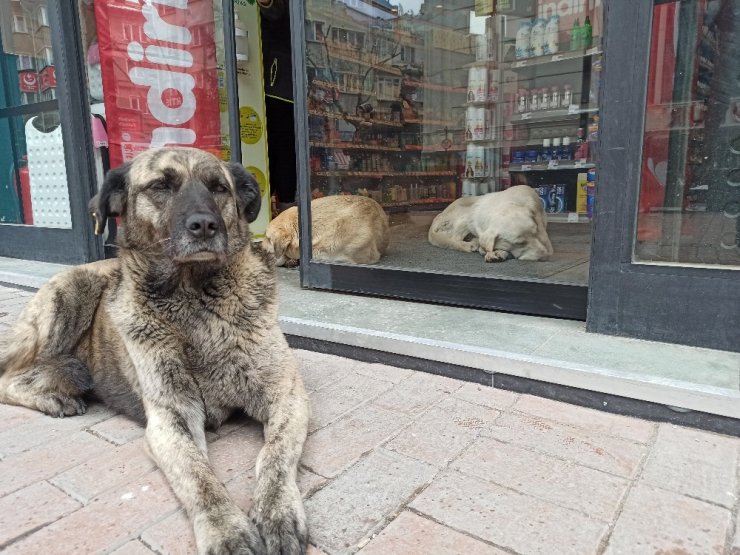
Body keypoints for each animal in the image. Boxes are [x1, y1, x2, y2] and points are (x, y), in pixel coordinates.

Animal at [0, 148, 310, 555]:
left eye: (218, 188)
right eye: (160, 186)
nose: (205, 225)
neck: (193, 300)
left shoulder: (286, 398)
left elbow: (274, 456)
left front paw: (277, 512)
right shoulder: (171, 418)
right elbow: (198, 477)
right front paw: (226, 530)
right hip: (66, 298)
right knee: (10, 376)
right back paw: (53, 397)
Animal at [424, 185, 552, 262]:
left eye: (536, 232)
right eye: (519, 243)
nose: (547, 255)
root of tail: (438, 217)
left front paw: (499, 252)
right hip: (465, 218)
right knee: (455, 239)